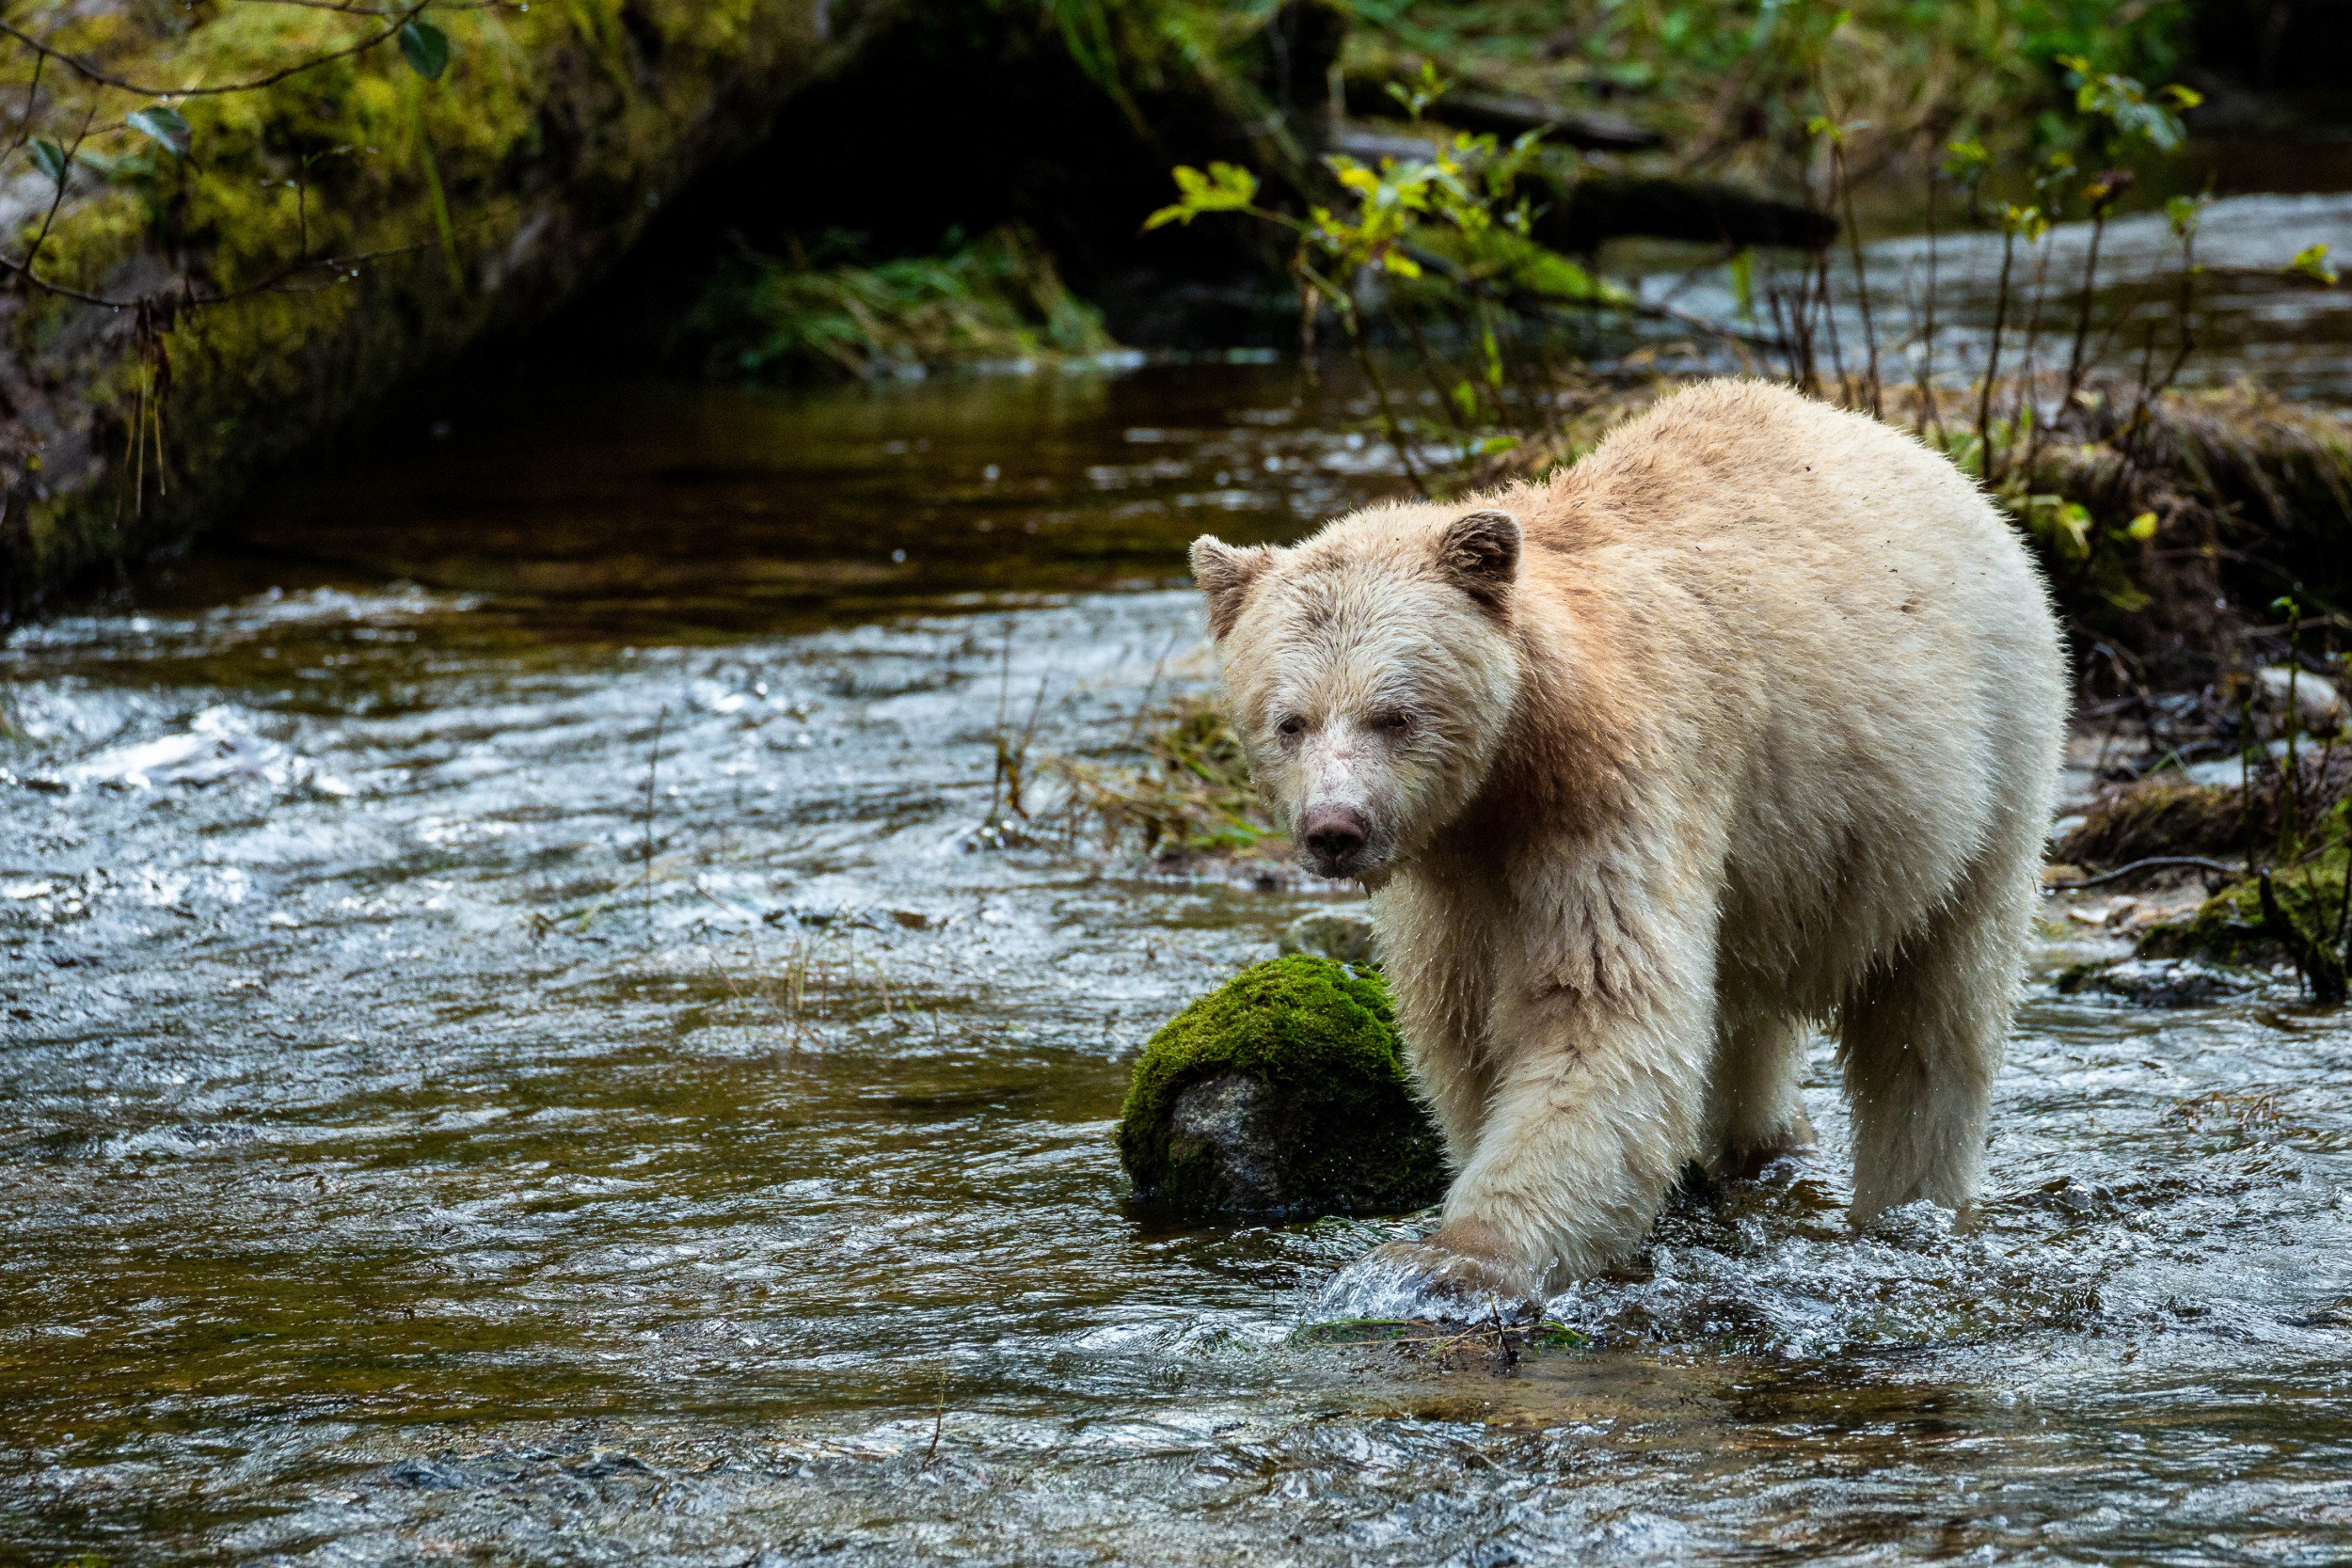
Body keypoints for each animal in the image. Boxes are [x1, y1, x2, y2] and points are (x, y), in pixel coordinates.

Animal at [1195, 375, 2060, 1316]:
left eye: (1395, 715)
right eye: (1289, 720)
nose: (1335, 829)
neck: (1506, 775)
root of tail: (1919, 453)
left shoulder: (1615, 792)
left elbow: (1599, 1011)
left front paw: (1452, 1260)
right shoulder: (1448, 881)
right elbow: (1464, 1029)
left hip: (1979, 774)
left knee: (1935, 1020)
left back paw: (1910, 1202)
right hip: (1782, 862)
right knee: (1747, 1015)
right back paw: (1766, 1145)